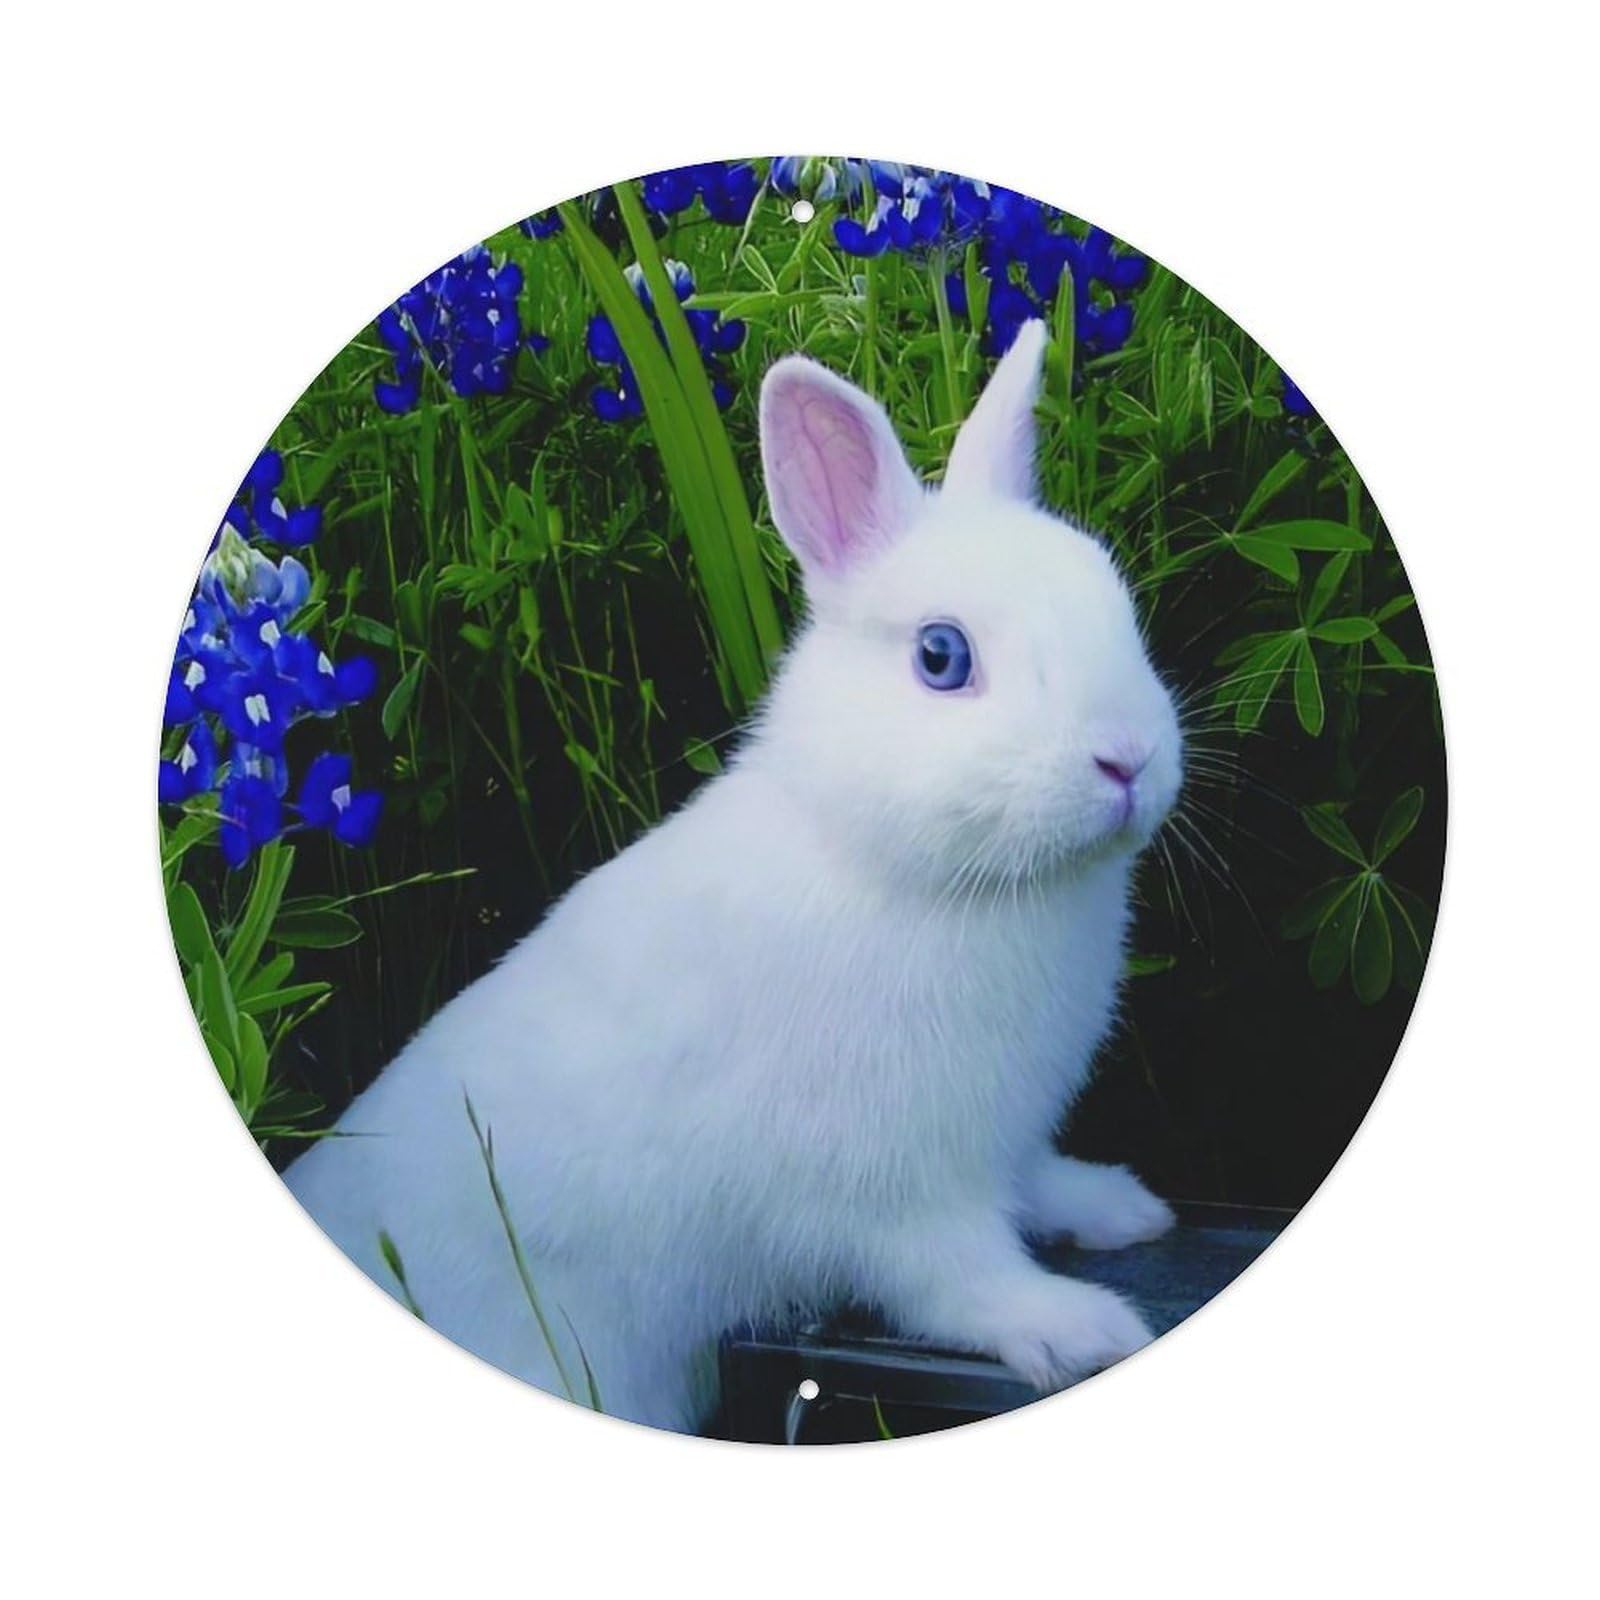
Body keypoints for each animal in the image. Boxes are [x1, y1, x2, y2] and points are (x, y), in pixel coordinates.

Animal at [285, 319, 1183, 1434]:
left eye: (1114, 597)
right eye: (940, 656)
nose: (1127, 759)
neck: (904, 865)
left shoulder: (1006, 1145)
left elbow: (1040, 1187)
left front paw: (1120, 1208)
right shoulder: (894, 1192)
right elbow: (956, 1281)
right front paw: (1076, 1329)